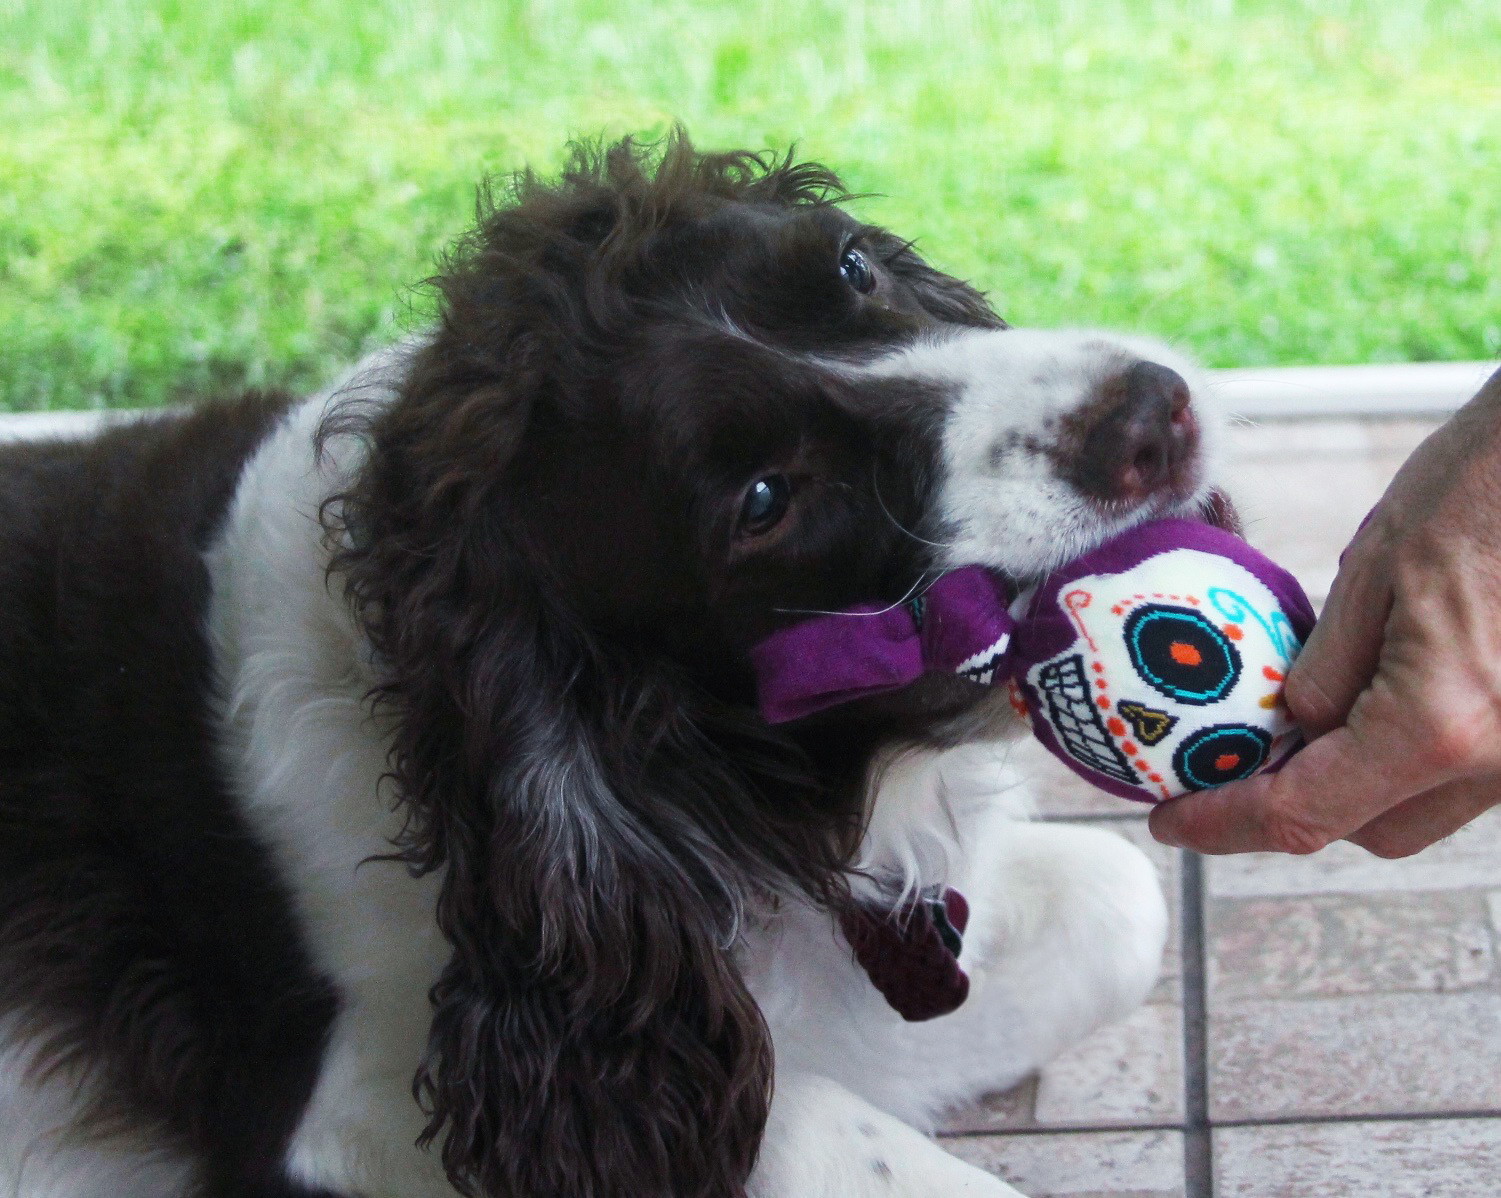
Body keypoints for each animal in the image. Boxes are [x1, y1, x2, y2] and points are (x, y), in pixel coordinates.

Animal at [0, 135, 1218, 1198]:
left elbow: (1114, 909)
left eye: (851, 264)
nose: (1150, 415)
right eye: (764, 500)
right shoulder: (362, 1109)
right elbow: (789, 1125)